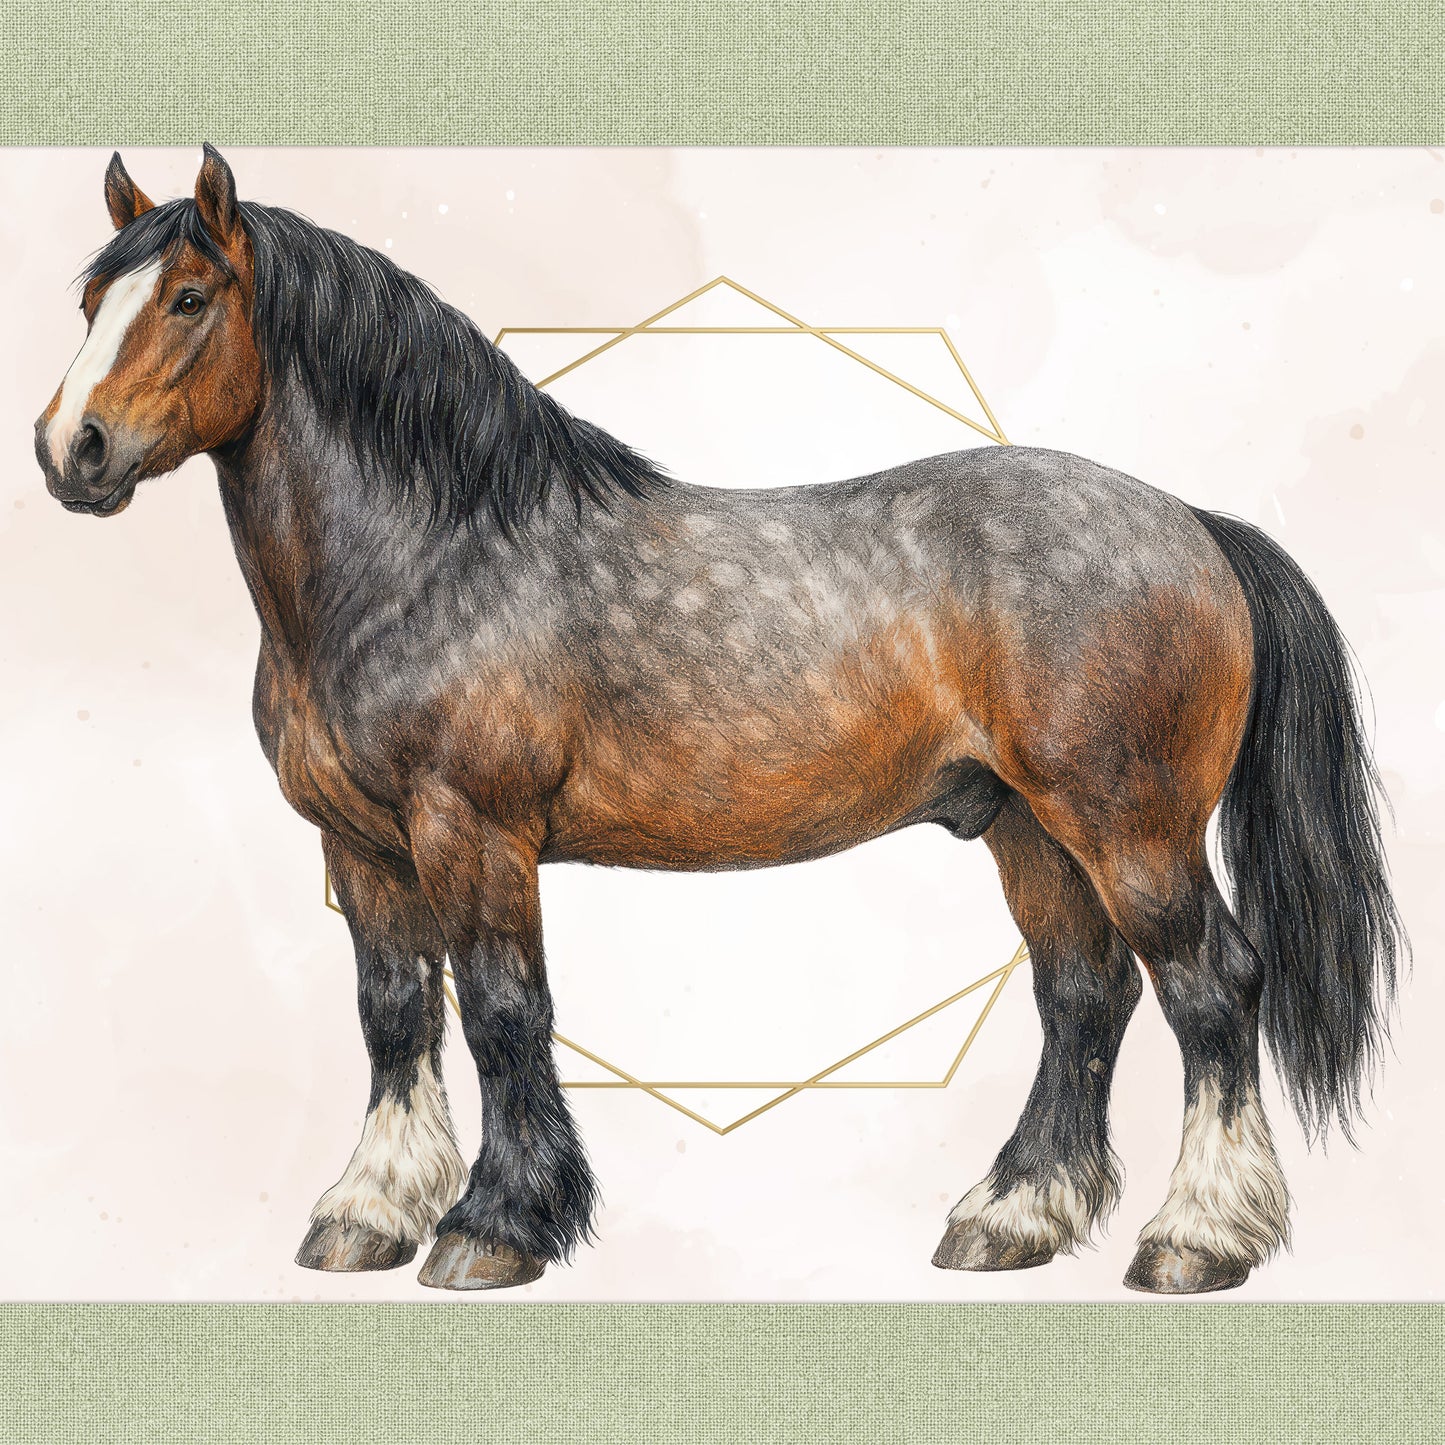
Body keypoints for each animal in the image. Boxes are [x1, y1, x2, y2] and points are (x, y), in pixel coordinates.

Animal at [35, 146, 1404, 1294]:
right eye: (91, 297)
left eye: (189, 298)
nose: (70, 450)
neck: (425, 555)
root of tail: (1190, 523)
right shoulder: (359, 844)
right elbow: (393, 1014)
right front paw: (367, 1213)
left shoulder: (473, 831)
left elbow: (500, 1010)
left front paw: (493, 1226)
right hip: (1029, 827)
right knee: (1082, 994)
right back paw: (1009, 1217)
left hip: (1129, 827)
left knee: (1210, 989)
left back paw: (1195, 1239)